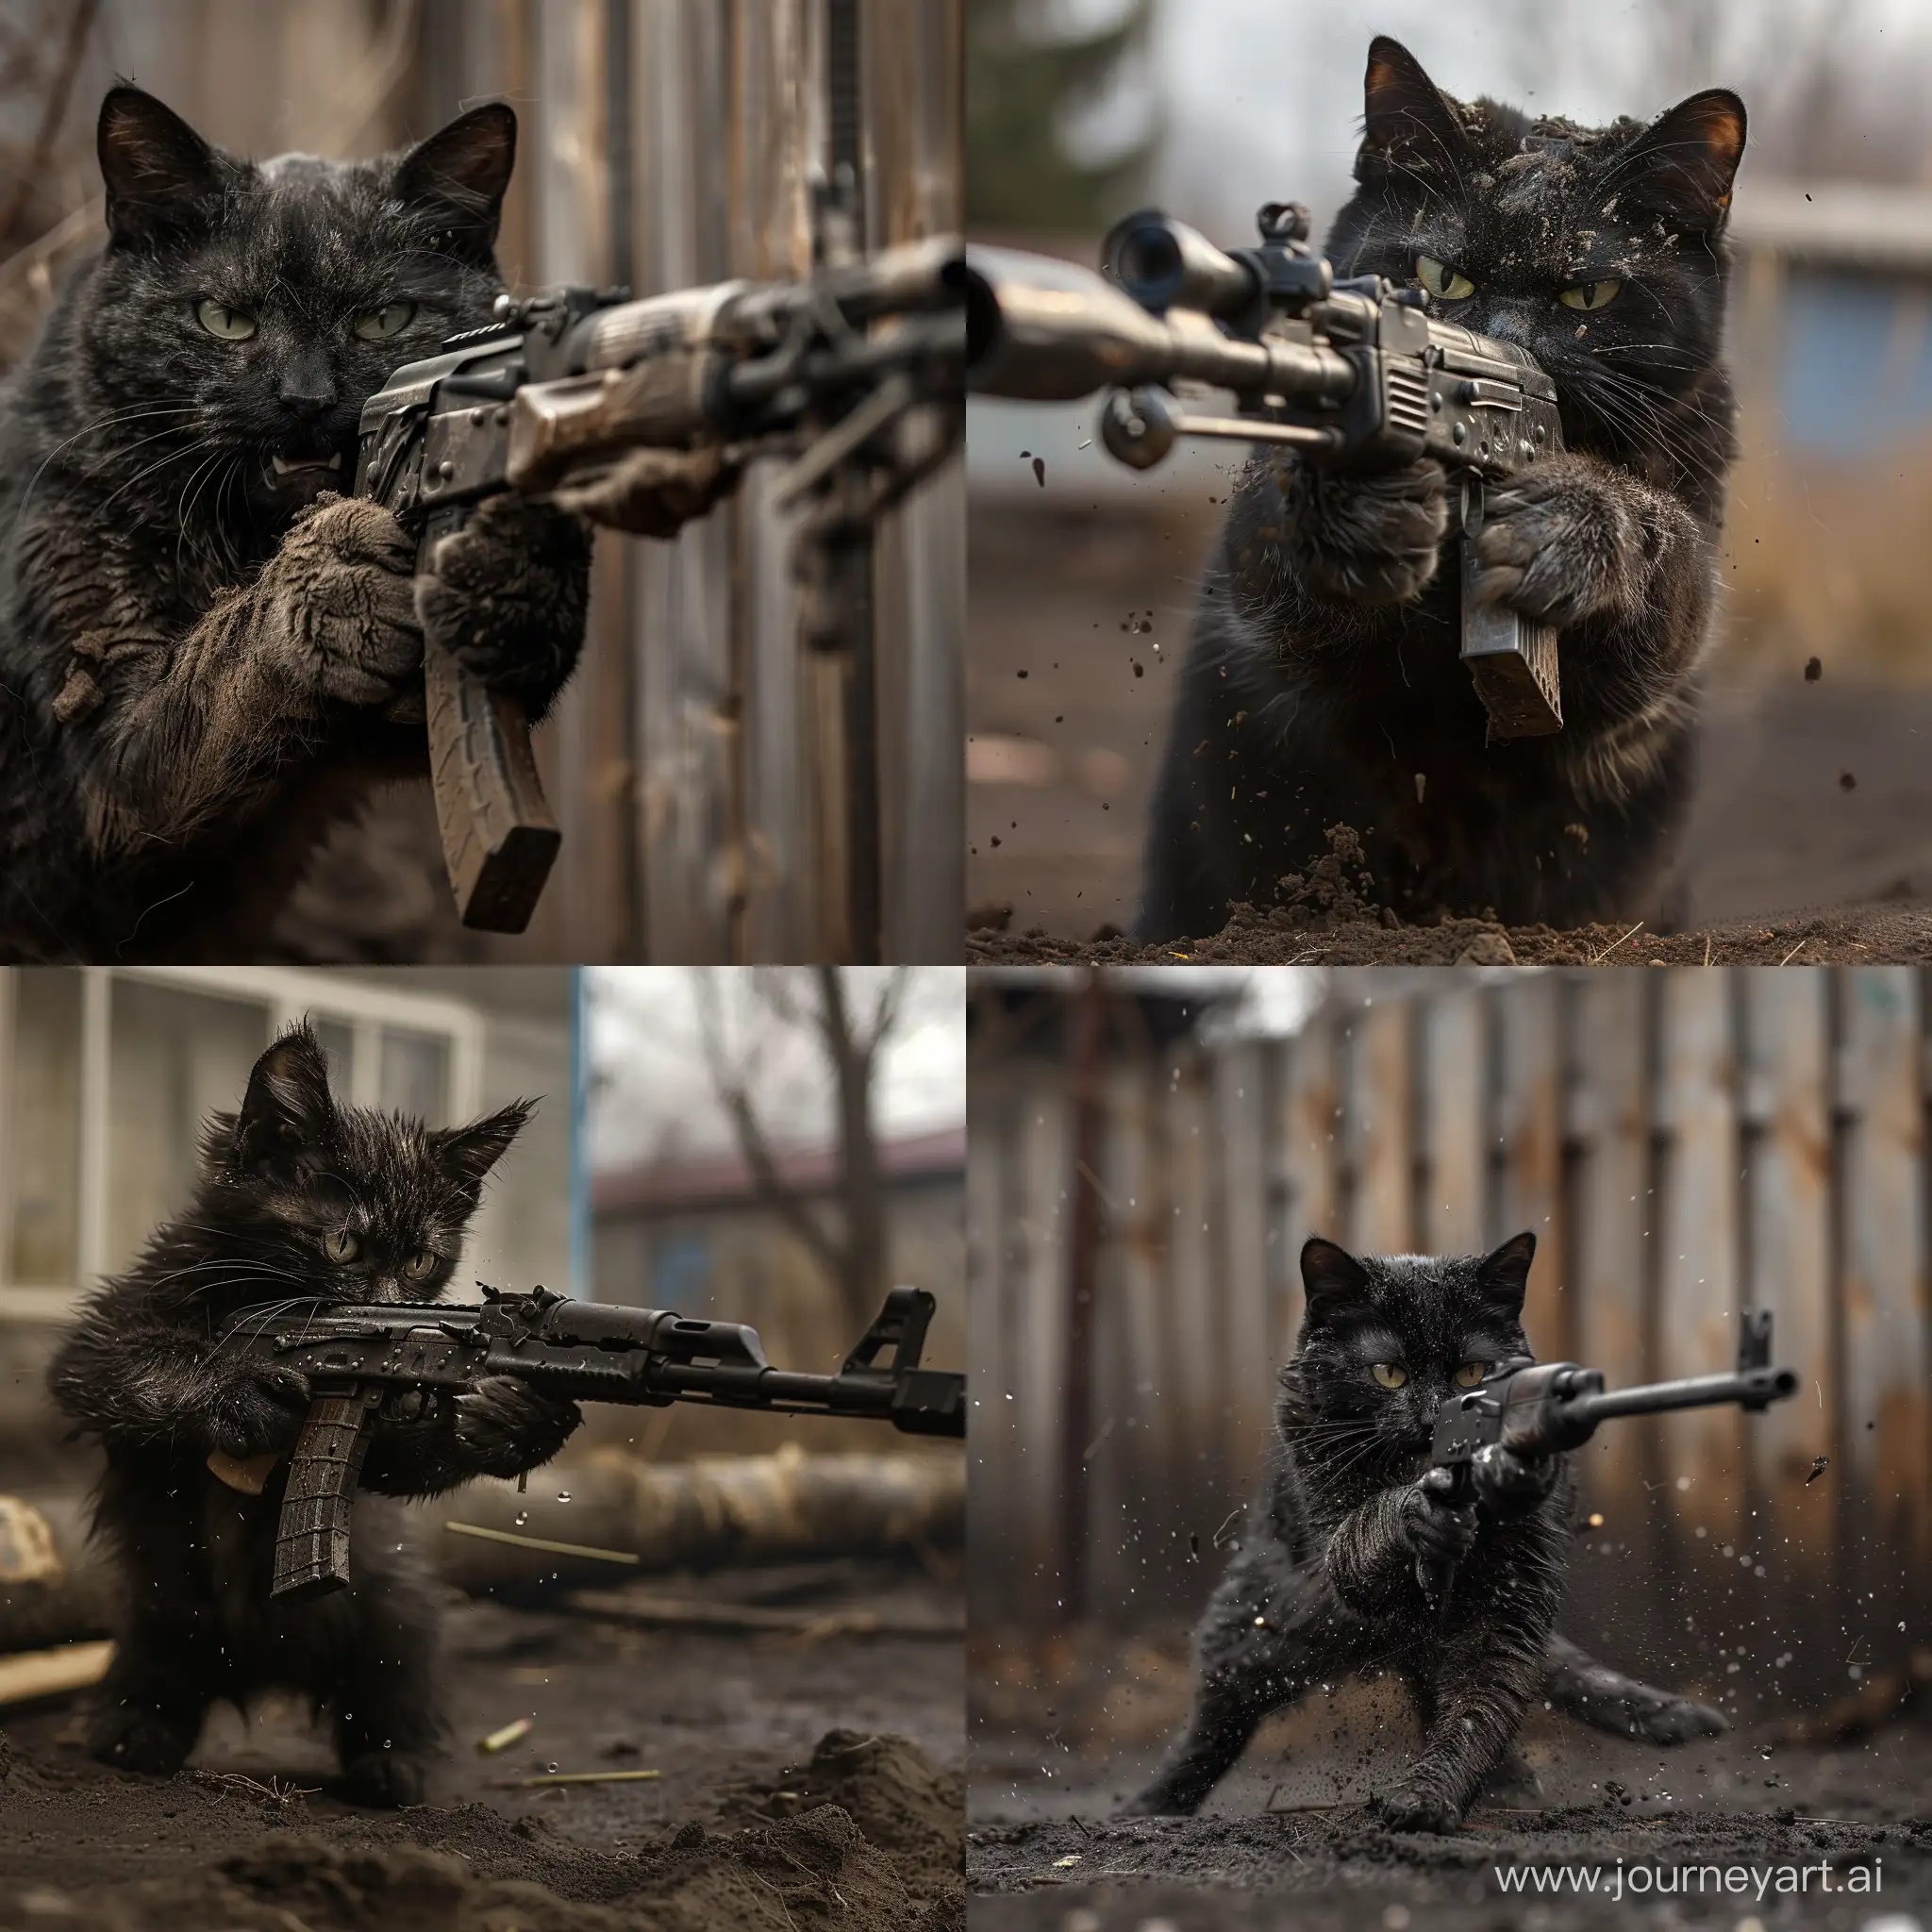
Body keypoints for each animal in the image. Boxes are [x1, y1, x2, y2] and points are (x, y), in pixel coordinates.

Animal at [0, 91, 587, 966]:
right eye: (224, 319)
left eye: (385, 319)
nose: (305, 398)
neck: (246, 539)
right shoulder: (111, 759)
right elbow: (220, 669)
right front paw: (332, 590)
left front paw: (515, 570)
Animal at [43, 1035, 572, 1800]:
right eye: (341, 1245)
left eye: (421, 1260)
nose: (390, 1313)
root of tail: (259, 1672)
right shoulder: (102, 1338)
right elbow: (121, 1368)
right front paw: (236, 1397)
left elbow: (402, 1463)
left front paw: (513, 1418)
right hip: (154, 1609)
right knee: (156, 1669)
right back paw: (137, 1727)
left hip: (395, 1607)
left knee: (397, 1675)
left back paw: (393, 1762)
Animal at [1128, 1228, 1731, 1831]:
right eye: (1388, 1373)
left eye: (1472, 1373)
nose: (1433, 1417)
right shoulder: (1340, 1545)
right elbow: (1371, 1535)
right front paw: (1416, 1511)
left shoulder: (1508, 1597)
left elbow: (1478, 1703)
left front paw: (1431, 1796)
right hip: (1263, 1631)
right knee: (1215, 1719)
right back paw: (1149, 1807)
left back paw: (1507, 1783)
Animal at [1136, 42, 1746, 946]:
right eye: (1438, 275)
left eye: (1587, 294)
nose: (1503, 343)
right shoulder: (1261, 595)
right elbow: (1288, 578)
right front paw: (1359, 507)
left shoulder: (1672, 626)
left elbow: (1661, 558)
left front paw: (1576, 522)